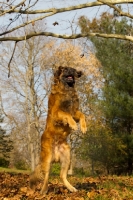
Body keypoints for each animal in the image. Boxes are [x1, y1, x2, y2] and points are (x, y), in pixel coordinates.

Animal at [29, 66, 87, 195]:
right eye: (66, 69)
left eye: (73, 69)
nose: (76, 72)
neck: (67, 90)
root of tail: (55, 155)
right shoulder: (57, 112)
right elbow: (66, 114)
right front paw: (73, 125)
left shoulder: (75, 112)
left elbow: (82, 115)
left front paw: (83, 127)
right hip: (47, 159)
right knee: (46, 176)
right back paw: (43, 190)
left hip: (67, 157)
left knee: (62, 175)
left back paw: (71, 188)